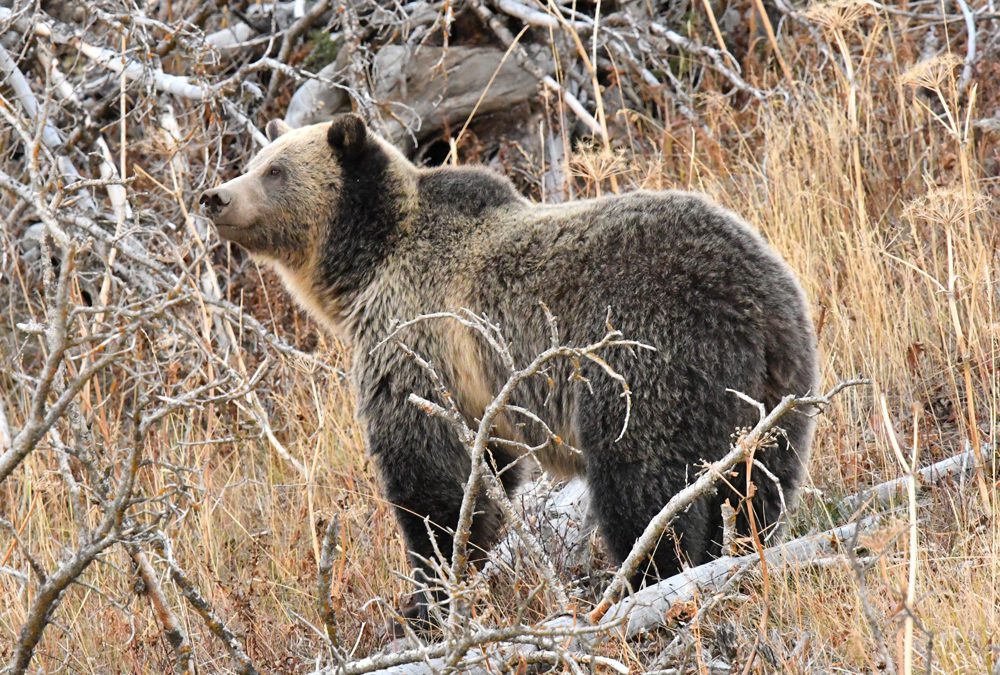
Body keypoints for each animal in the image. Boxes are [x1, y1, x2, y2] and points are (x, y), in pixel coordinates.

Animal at [201, 113, 820, 624]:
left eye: (275, 170)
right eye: (256, 160)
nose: (215, 196)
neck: (367, 268)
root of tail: (751, 305)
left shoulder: (415, 342)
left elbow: (430, 475)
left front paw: (426, 595)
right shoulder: (479, 394)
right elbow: (487, 475)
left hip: (648, 361)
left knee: (645, 484)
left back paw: (646, 581)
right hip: (778, 384)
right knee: (760, 485)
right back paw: (738, 553)